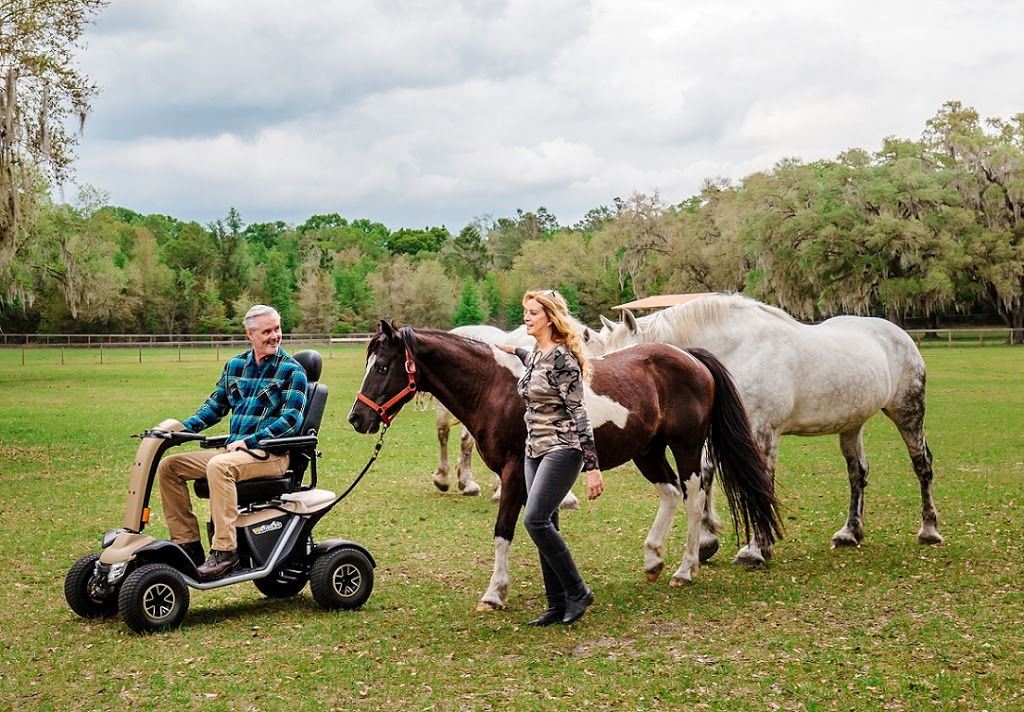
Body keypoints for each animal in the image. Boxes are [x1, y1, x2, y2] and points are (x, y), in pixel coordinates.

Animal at [348, 323, 778, 614]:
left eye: (382, 367)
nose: (357, 419)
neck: (495, 388)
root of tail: (689, 357)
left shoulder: (513, 474)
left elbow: (503, 531)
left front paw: (495, 592)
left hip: (685, 447)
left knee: (692, 497)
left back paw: (686, 568)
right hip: (647, 451)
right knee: (670, 492)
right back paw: (653, 558)